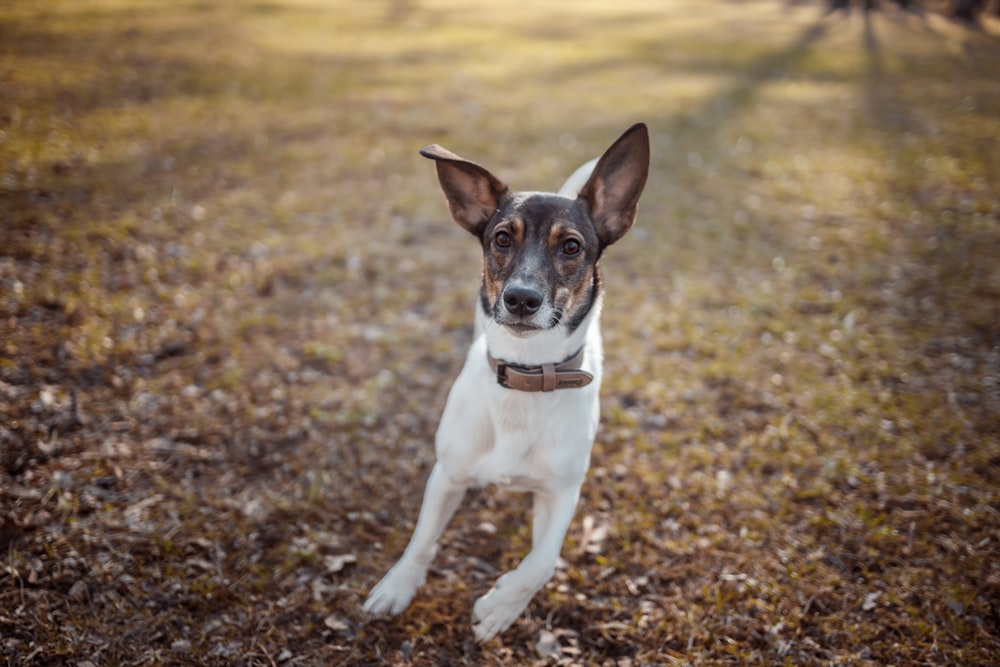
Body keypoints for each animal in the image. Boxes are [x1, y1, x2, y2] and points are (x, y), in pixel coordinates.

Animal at [364, 121, 652, 640]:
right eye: (502, 238)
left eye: (571, 246)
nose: (521, 299)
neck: (525, 373)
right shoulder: (447, 474)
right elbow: (421, 539)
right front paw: (398, 585)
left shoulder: (561, 492)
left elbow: (542, 562)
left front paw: (500, 607)